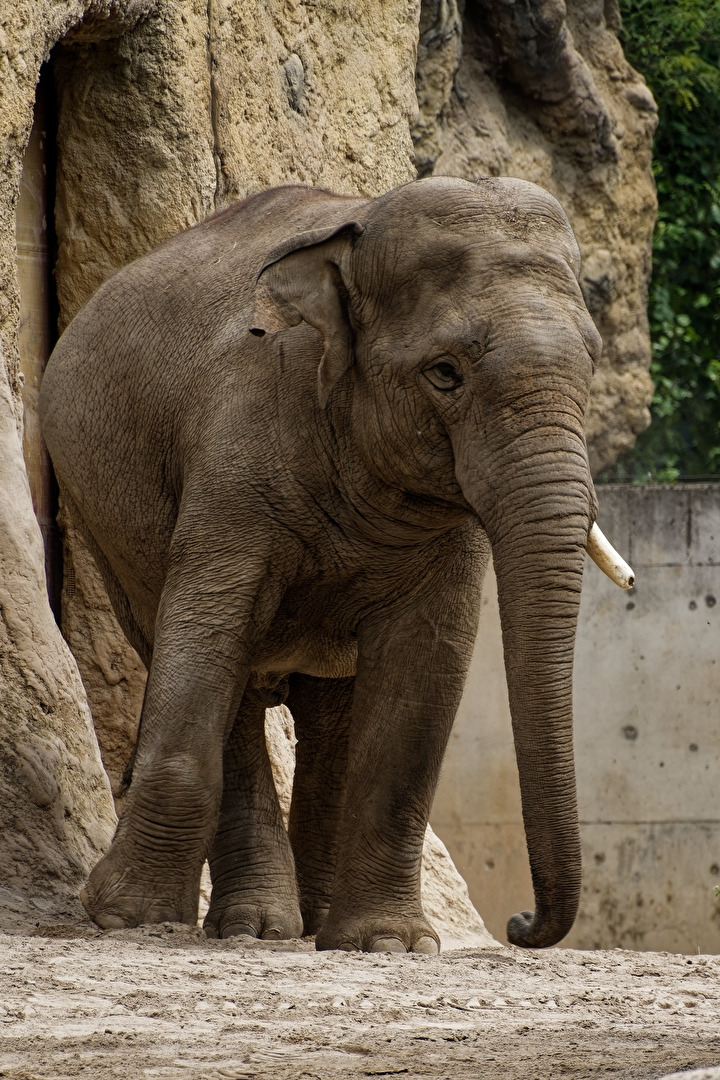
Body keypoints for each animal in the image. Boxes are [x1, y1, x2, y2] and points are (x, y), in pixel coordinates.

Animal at [39, 175, 631, 953]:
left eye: (591, 361)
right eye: (446, 373)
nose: (520, 922)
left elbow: (423, 665)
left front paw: (389, 944)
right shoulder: (235, 450)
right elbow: (206, 627)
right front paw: (123, 918)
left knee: (329, 717)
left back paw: (312, 927)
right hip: (103, 519)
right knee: (220, 674)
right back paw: (256, 929)